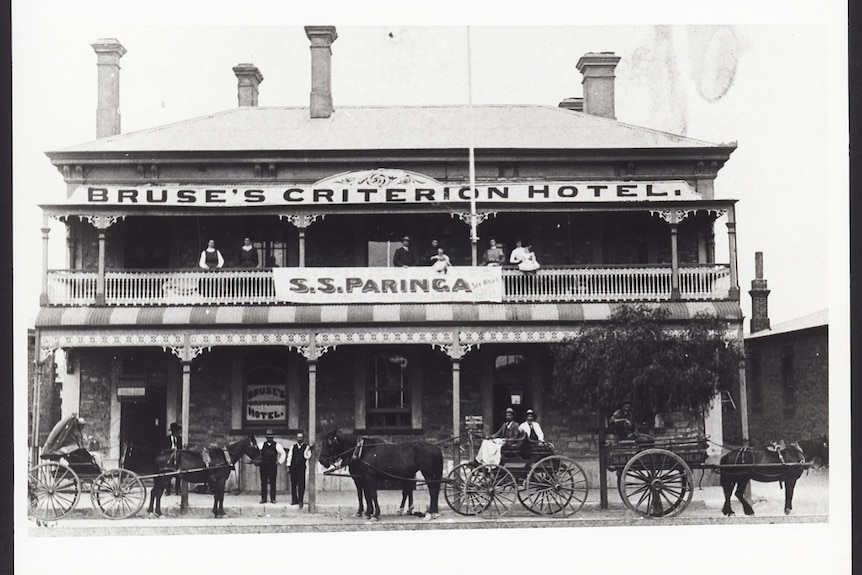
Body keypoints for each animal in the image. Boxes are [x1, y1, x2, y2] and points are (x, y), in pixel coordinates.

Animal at [320, 432, 448, 520]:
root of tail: (436, 448)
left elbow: (372, 494)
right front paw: (367, 512)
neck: (362, 451)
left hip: (428, 474)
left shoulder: (369, 477)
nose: (322, 460)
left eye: (329, 444)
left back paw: (430, 513)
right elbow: (365, 496)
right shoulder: (363, 478)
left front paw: (375, 514)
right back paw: (432, 512)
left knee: (432, 491)